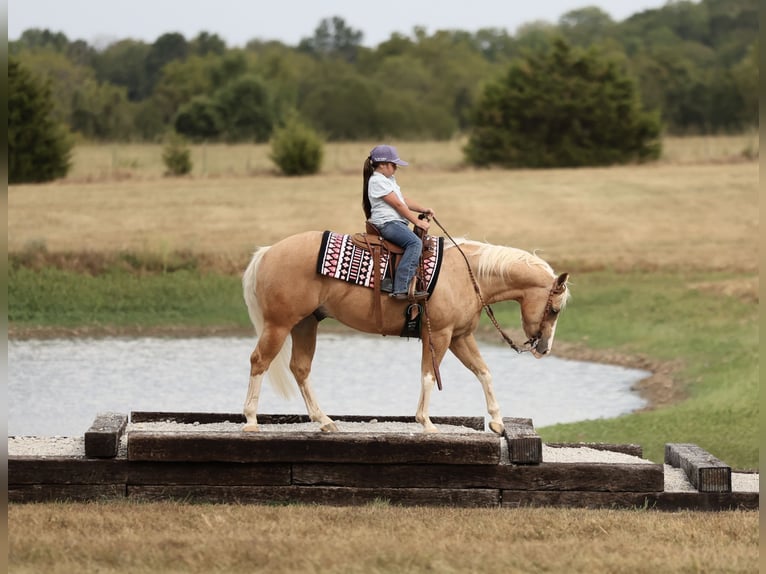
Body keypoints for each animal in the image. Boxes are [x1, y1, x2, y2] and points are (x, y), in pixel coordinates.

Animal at [242, 230, 569, 434]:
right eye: (555, 310)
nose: (544, 349)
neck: (468, 275)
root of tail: (268, 252)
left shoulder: (460, 337)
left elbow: (484, 372)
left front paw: (498, 422)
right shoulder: (438, 335)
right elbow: (428, 375)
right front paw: (426, 423)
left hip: (306, 323)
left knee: (300, 368)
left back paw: (325, 421)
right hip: (279, 325)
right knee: (259, 361)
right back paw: (251, 420)